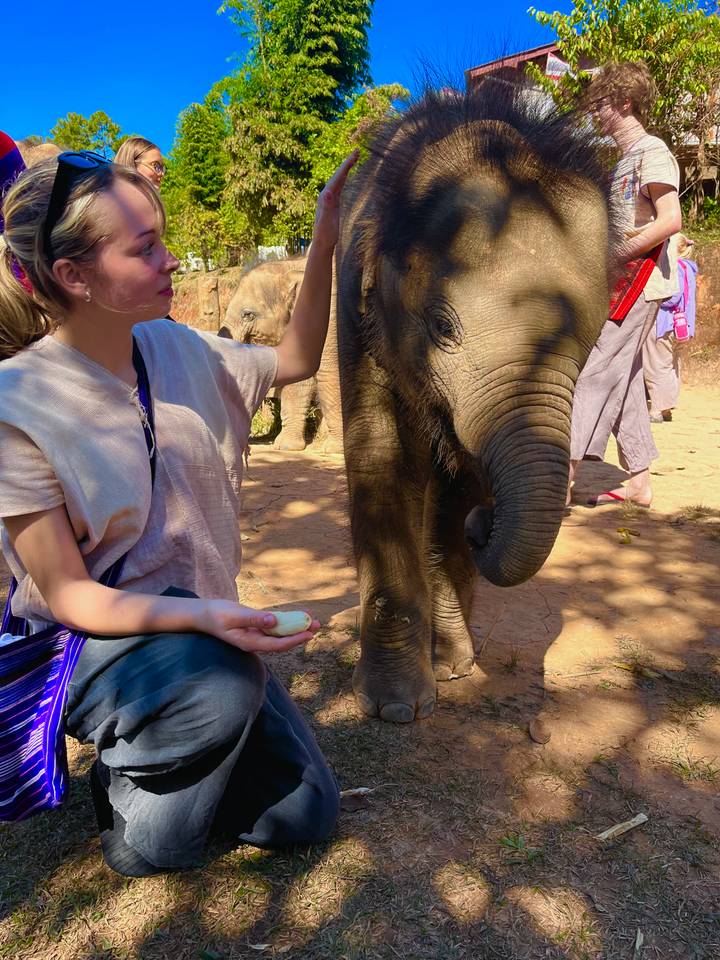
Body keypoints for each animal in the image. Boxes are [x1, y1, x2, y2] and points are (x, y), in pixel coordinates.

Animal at [221, 257, 343, 453]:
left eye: (248, 315)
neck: (290, 266)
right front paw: (286, 446)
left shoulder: (332, 315)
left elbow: (330, 370)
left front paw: (334, 448)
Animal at [336, 82, 616, 723]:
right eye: (443, 327)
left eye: (591, 343)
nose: (483, 527)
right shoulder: (353, 307)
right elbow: (380, 454)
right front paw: (394, 708)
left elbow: (457, 480)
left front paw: (450, 666)